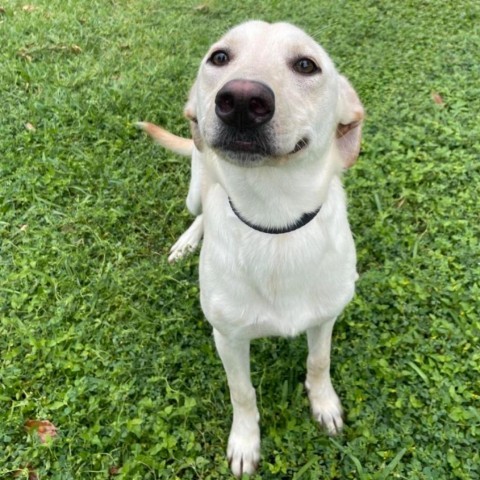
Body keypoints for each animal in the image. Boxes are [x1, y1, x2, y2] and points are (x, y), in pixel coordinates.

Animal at [139, 20, 364, 478]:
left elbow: (319, 362)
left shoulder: (325, 318)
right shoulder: (227, 338)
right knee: (202, 210)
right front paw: (245, 442)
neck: (275, 223)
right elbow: (242, 393)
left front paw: (324, 404)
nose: (242, 100)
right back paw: (187, 243)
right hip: (195, 186)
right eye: (220, 57)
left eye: (306, 65)